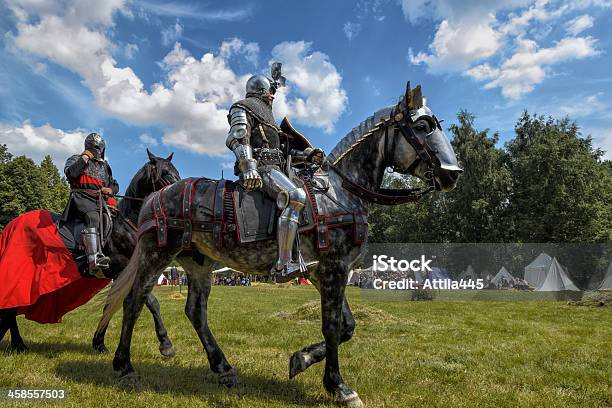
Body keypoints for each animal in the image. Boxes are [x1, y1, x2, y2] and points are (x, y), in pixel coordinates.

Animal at [0, 149, 179, 356]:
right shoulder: (124, 270)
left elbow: (111, 306)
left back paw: (16, 343)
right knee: (10, 308)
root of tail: (11, 226)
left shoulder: (120, 275)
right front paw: (166, 344)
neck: (127, 224)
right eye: (164, 172)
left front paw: (99, 342)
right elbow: (150, 302)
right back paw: (18, 343)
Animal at [98, 82, 462, 404]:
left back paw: (223, 368)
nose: (452, 174)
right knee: (135, 301)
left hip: (198, 264)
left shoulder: (326, 272)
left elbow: (347, 326)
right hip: (156, 254)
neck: (341, 192)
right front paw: (338, 386)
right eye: (424, 125)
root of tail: (155, 196)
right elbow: (332, 326)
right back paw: (125, 365)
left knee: (195, 312)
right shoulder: (334, 268)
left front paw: (301, 360)